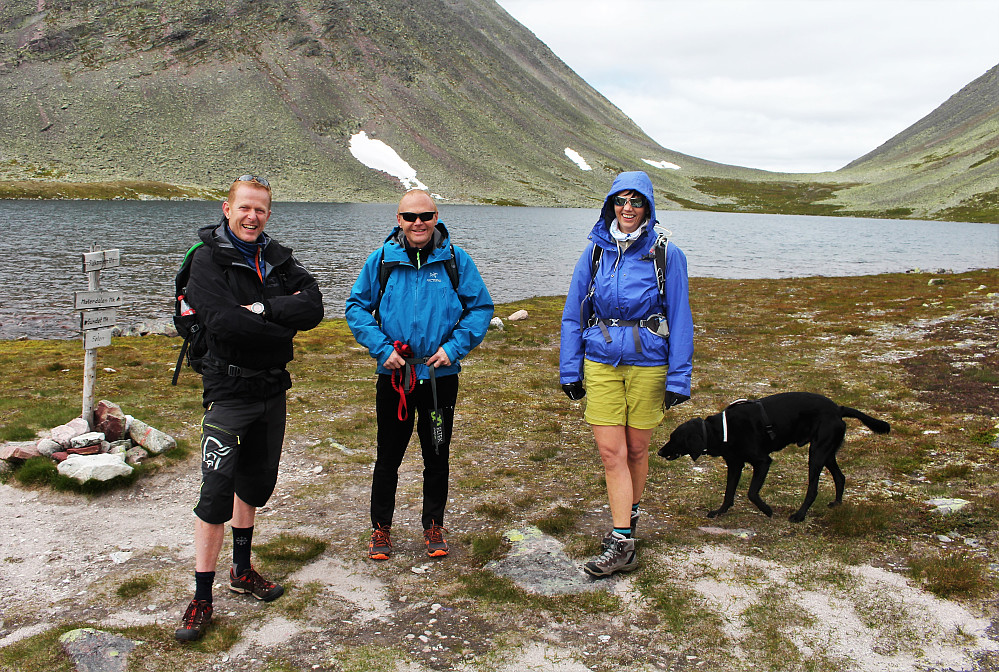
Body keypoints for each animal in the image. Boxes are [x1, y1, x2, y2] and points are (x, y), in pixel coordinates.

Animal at [656, 392, 892, 524]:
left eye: (674, 438)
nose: (659, 452)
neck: (721, 430)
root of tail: (838, 408)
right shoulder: (735, 464)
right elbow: (729, 493)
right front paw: (719, 512)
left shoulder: (762, 462)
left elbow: (751, 492)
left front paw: (767, 510)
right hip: (826, 452)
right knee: (840, 477)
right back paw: (837, 503)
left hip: (817, 454)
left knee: (813, 488)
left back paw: (799, 516)